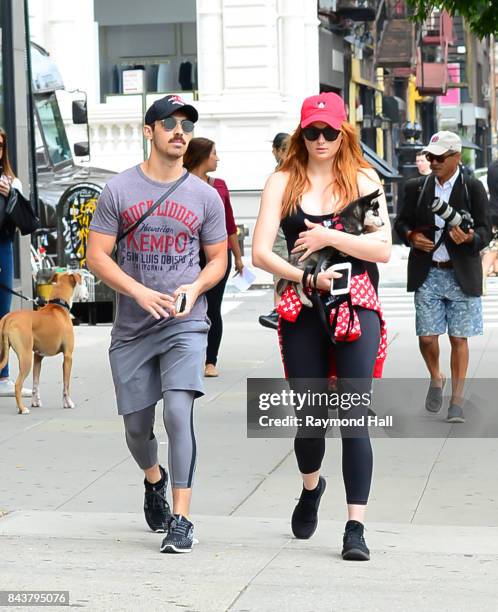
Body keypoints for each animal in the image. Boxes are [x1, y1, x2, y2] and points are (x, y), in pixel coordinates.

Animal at [0, 272, 88, 416]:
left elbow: (36, 382)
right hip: (25, 358)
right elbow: (66, 384)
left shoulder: (38, 357)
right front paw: (68, 403)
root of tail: (9, 318)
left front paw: (36, 402)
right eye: (84, 282)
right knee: (18, 385)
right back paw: (22, 408)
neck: (59, 305)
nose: (86, 293)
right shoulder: (68, 356)